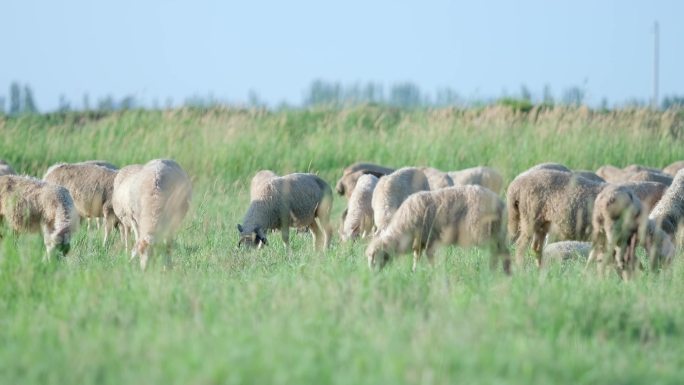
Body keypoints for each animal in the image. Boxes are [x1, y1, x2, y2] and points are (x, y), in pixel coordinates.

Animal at [366, 185, 510, 272]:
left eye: (374, 259)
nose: (372, 276)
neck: (402, 229)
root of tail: (500, 204)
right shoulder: (420, 242)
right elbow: (416, 257)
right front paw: (414, 271)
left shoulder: (430, 240)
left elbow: (429, 257)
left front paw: (433, 271)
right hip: (497, 233)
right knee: (503, 252)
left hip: (485, 233)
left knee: (496, 253)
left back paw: (494, 271)